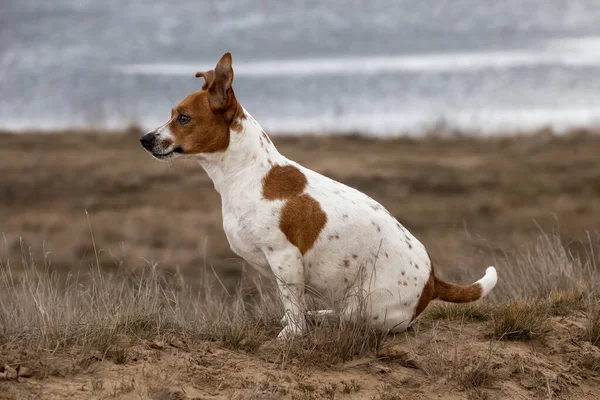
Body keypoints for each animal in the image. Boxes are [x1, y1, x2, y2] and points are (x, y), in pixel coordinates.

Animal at [141, 51, 496, 340]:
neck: (248, 173)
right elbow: (292, 308)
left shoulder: (285, 259)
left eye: (183, 117)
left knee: (355, 321)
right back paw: (320, 316)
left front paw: (291, 335)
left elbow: (292, 310)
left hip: (364, 308)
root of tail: (433, 279)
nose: (144, 139)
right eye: (173, 114)